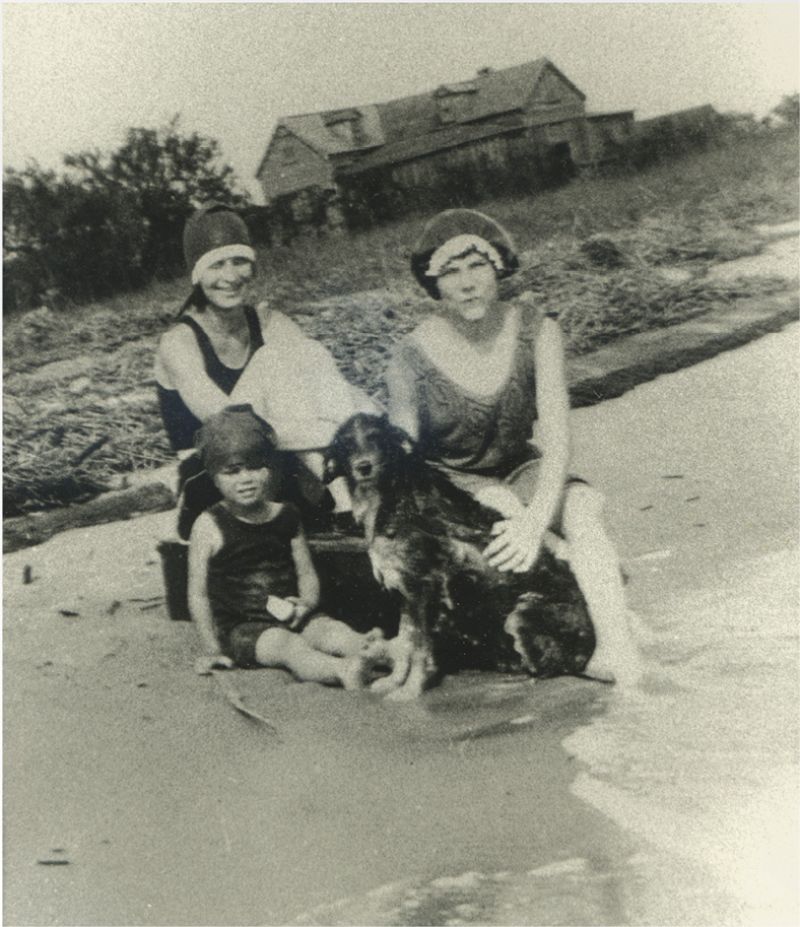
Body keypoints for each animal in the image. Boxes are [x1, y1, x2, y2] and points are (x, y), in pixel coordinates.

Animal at [324, 416, 592, 700]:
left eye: (376, 436)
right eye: (346, 444)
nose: (363, 466)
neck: (391, 498)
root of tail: (589, 647)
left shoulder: (423, 588)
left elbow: (420, 650)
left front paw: (411, 690)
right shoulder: (404, 592)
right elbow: (406, 642)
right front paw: (394, 682)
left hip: (519, 616)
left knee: (545, 669)